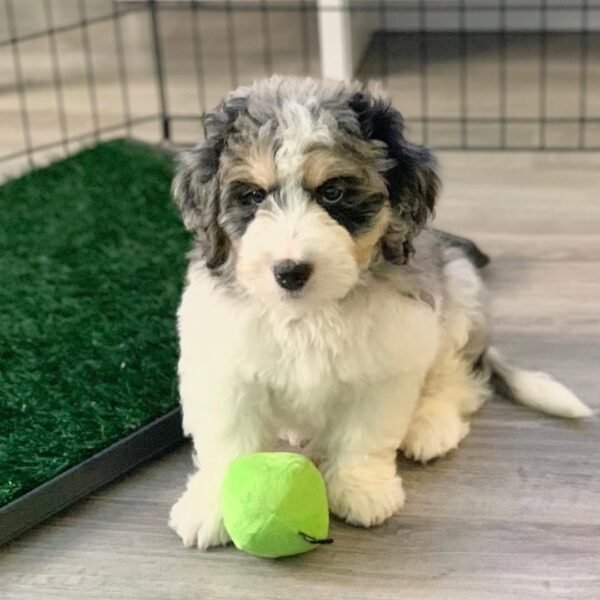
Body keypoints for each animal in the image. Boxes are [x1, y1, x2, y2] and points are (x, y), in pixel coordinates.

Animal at [168, 77, 592, 552]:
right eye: (254, 195)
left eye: (333, 192)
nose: (290, 271)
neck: (311, 312)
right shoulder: (225, 364)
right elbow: (227, 439)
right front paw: (211, 506)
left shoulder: (386, 364)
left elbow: (364, 436)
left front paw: (361, 490)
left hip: (459, 295)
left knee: (459, 380)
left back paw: (431, 425)